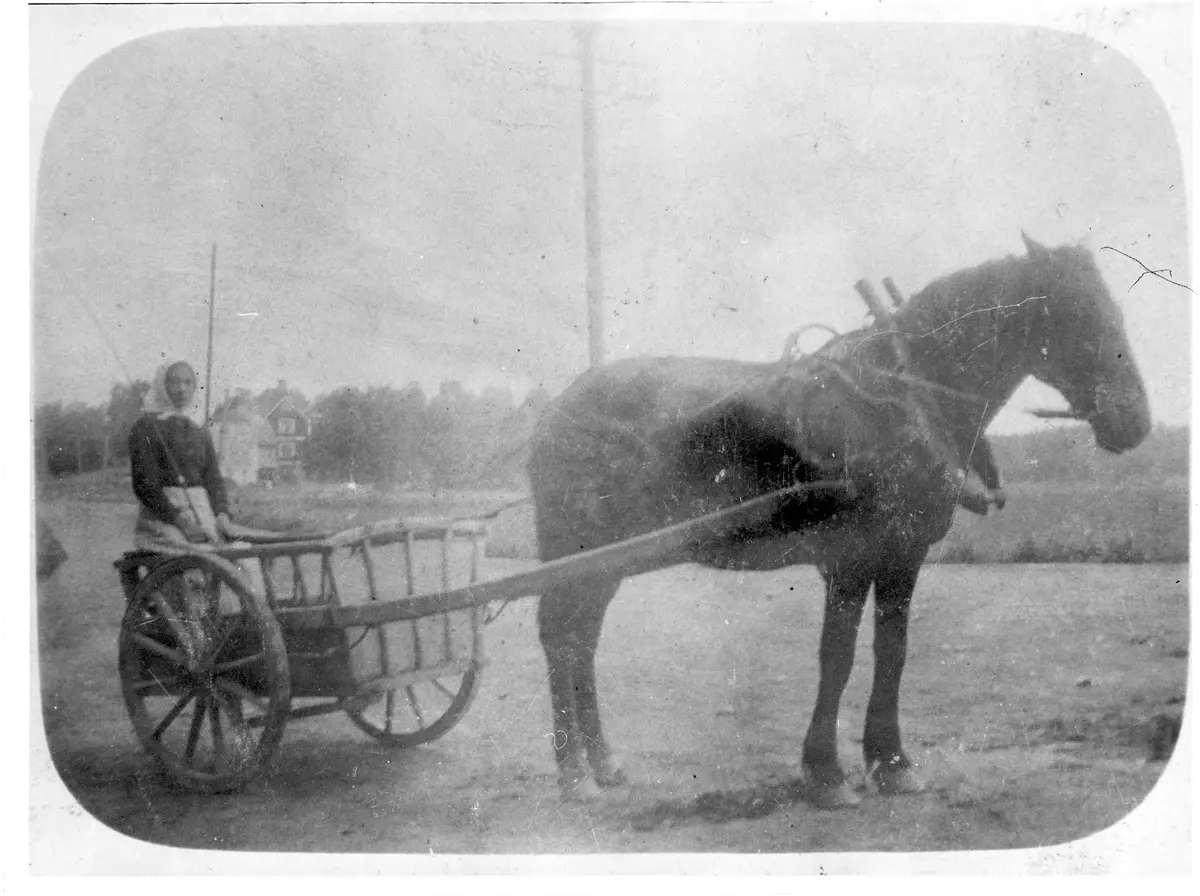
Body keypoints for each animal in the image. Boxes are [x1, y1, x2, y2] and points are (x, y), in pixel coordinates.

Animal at [527, 234, 1151, 807]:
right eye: (1076, 313)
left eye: (1116, 313)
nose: (1136, 422)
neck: (903, 396)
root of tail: (559, 407)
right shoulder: (850, 557)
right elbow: (838, 655)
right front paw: (826, 772)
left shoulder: (904, 553)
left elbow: (892, 651)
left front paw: (892, 764)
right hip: (575, 550)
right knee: (560, 637)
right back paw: (574, 774)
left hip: (604, 562)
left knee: (583, 640)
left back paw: (603, 763)